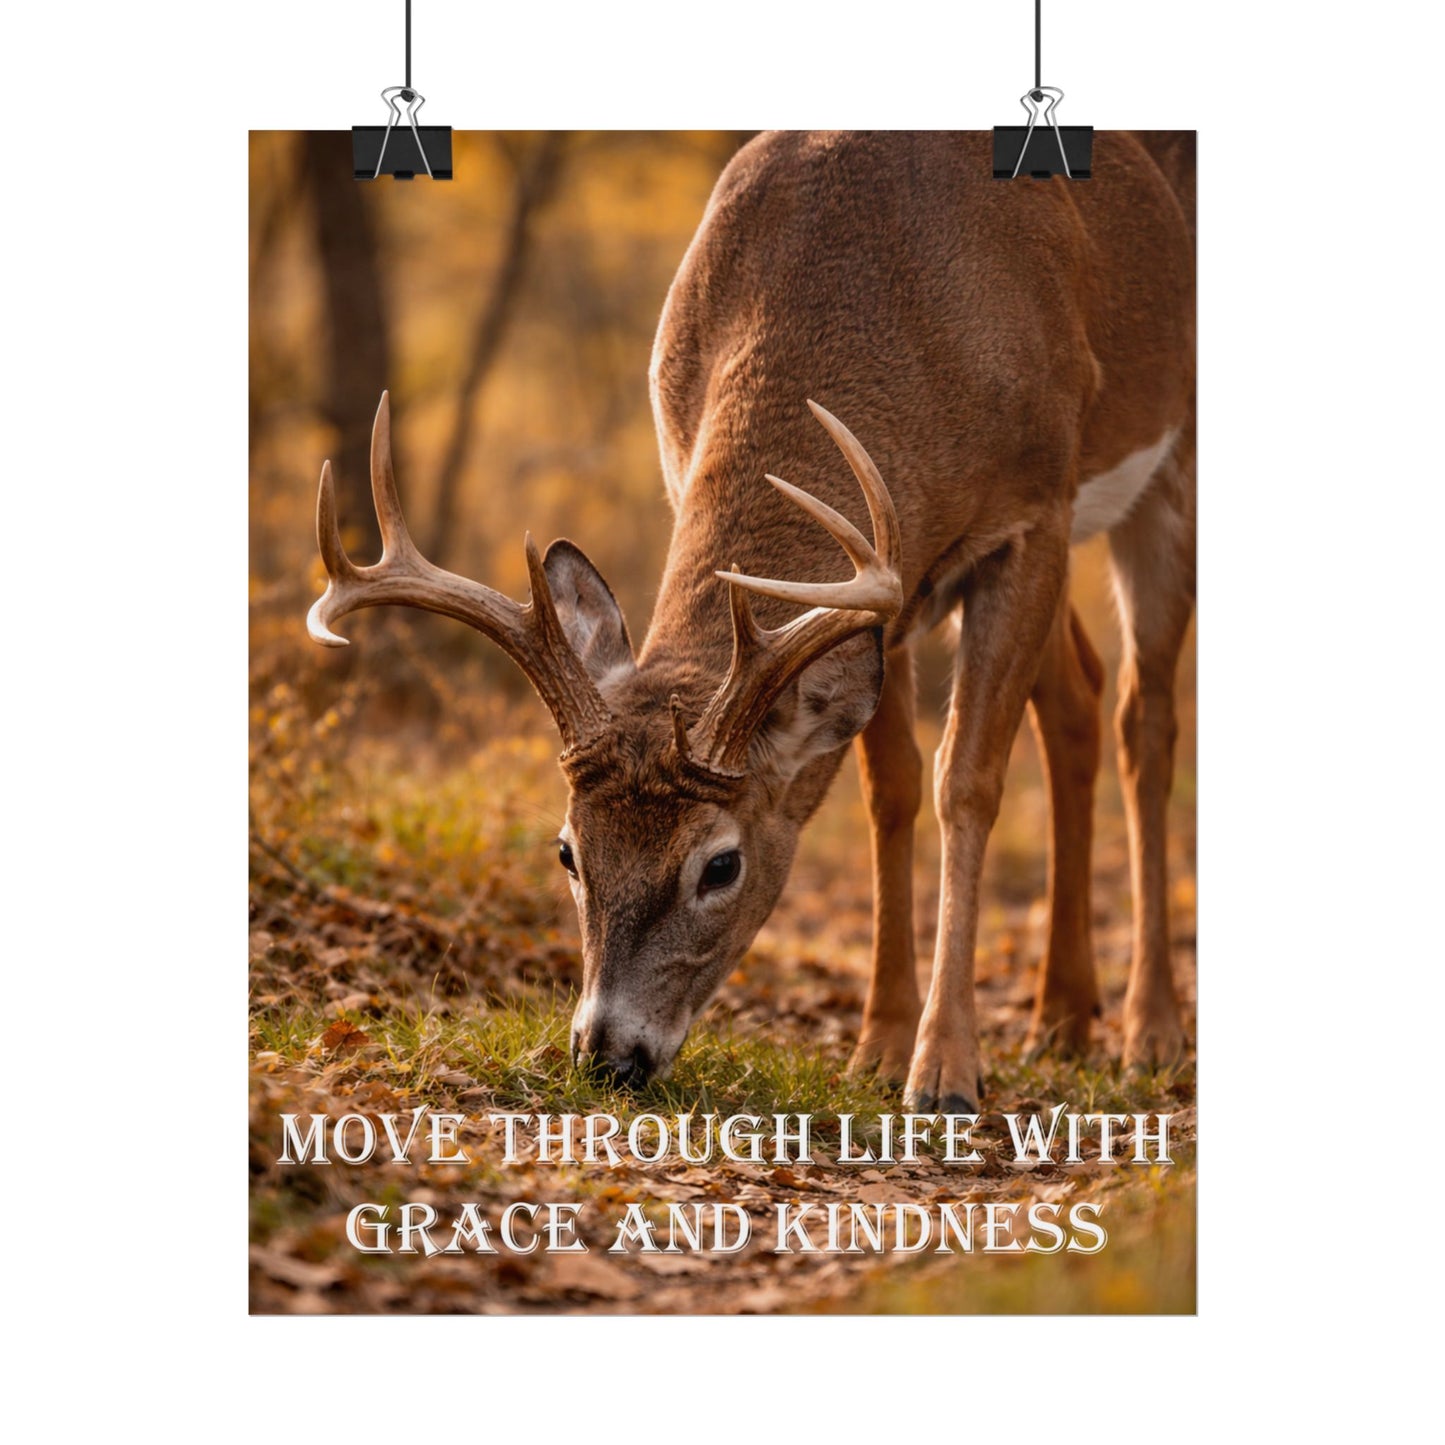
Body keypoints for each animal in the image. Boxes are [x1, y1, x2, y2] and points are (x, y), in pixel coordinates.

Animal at [308, 131, 1195, 1114]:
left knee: (1144, 717)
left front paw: (944, 1070)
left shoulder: (1029, 514)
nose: (608, 1056)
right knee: (1078, 695)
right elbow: (888, 788)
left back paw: (1150, 1031)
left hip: (1162, 468)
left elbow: (963, 781)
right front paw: (879, 1045)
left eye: (720, 864)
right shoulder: (887, 581)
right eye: (568, 850)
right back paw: (1062, 1016)